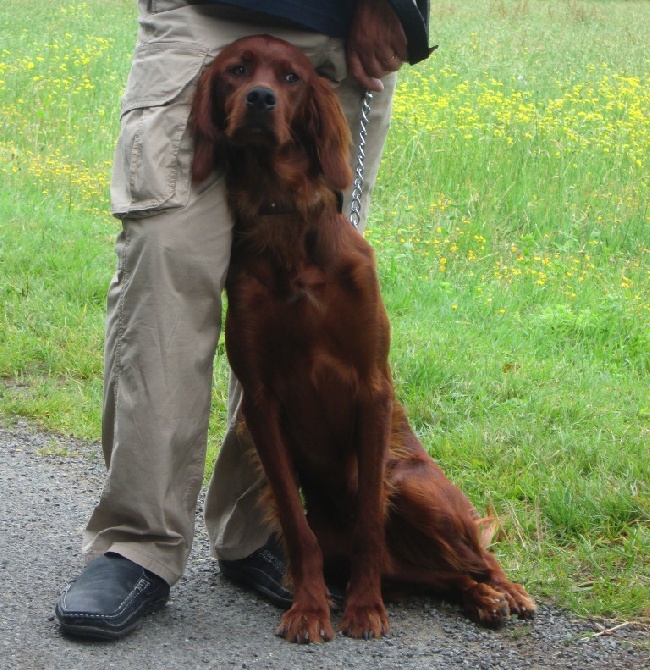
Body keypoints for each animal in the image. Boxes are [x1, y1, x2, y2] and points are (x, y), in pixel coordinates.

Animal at [190, 34, 536, 644]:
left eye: (290, 76)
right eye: (236, 70)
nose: (259, 99)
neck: (289, 231)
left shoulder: (373, 387)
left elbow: (371, 521)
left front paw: (365, 608)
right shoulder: (262, 400)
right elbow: (295, 526)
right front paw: (309, 608)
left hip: (419, 489)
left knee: (476, 554)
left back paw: (506, 592)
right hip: (361, 546)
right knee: (444, 576)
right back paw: (481, 601)